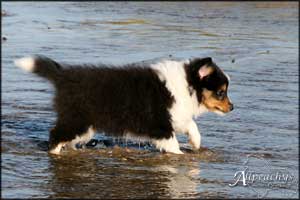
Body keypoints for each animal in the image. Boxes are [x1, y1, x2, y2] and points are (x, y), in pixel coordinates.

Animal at [14, 55, 233, 155]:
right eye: (221, 92)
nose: (232, 108)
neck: (188, 84)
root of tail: (63, 76)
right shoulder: (160, 124)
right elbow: (172, 143)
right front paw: (181, 155)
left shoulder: (176, 113)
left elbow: (191, 125)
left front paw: (195, 143)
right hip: (76, 119)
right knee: (55, 134)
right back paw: (55, 153)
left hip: (84, 124)